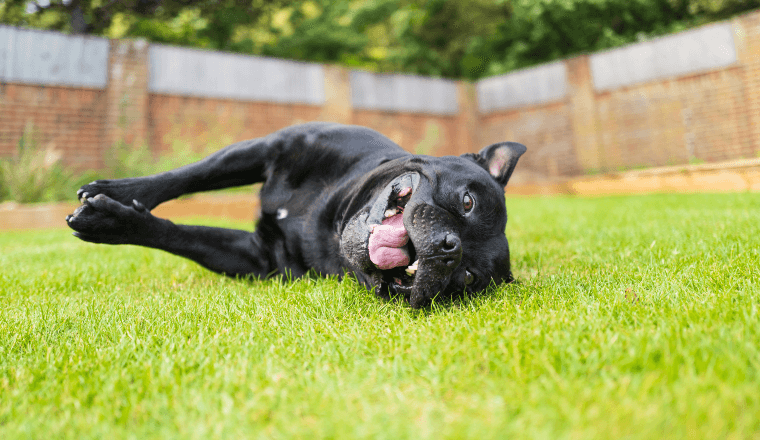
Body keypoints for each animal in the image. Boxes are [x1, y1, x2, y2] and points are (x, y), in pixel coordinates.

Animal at [67, 123, 524, 310]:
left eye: (465, 278)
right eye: (468, 202)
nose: (450, 248)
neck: (331, 216)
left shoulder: (258, 257)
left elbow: (182, 236)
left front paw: (114, 221)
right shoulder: (269, 146)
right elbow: (188, 176)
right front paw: (119, 194)